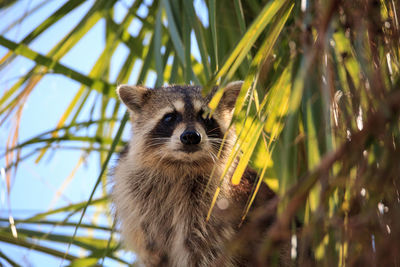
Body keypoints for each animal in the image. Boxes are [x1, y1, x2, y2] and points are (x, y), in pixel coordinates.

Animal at [113, 82, 278, 266]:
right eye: (169, 117)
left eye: (207, 117)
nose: (191, 136)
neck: (181, 165)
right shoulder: (136, 199)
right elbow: (151, 247)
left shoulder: (212, 202)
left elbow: (202, 247)